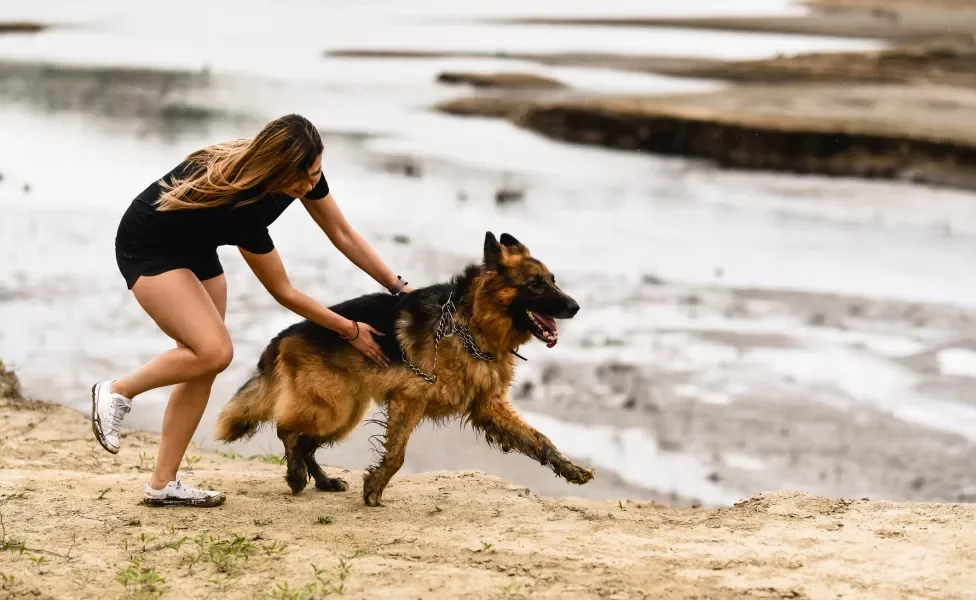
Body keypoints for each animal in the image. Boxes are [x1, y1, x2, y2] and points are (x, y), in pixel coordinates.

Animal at [215, 232, 596, 504]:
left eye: (553, 279)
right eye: (534, 284)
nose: (576, 307)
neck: (472, 323)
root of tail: (283, 336)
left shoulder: (488, 405)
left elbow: (539, 439)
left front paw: (570, 468)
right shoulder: (409, 399)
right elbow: (396, 454)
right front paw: (374, 489)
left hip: (345, 414)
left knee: (305, 442)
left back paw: (322, 481)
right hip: (332, 408)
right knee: (288, 431)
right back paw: (296, 476)